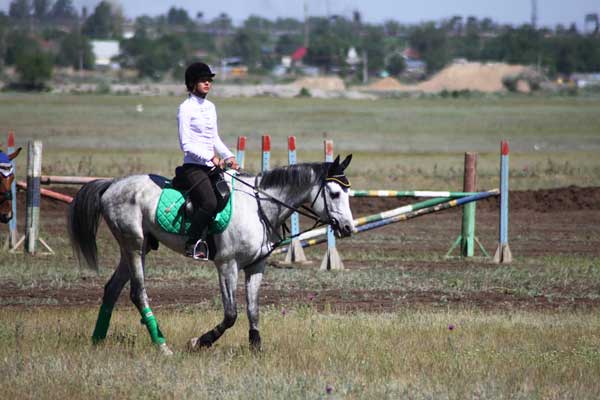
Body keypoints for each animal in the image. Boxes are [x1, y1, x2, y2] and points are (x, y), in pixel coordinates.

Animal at [68, 155, 354, 354]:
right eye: (334, 193)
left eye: (349, 193)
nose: (348, 228)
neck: (258, 207)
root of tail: (111, 185)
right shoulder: (227, 265)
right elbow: (231, 314)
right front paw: (199, 342)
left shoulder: (256, 266)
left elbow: (253, 309)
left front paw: (256, 348)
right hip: (134, 246)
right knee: (138, 293)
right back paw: (162, 346)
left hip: (136, 248)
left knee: (112, 289)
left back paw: (97, 340)